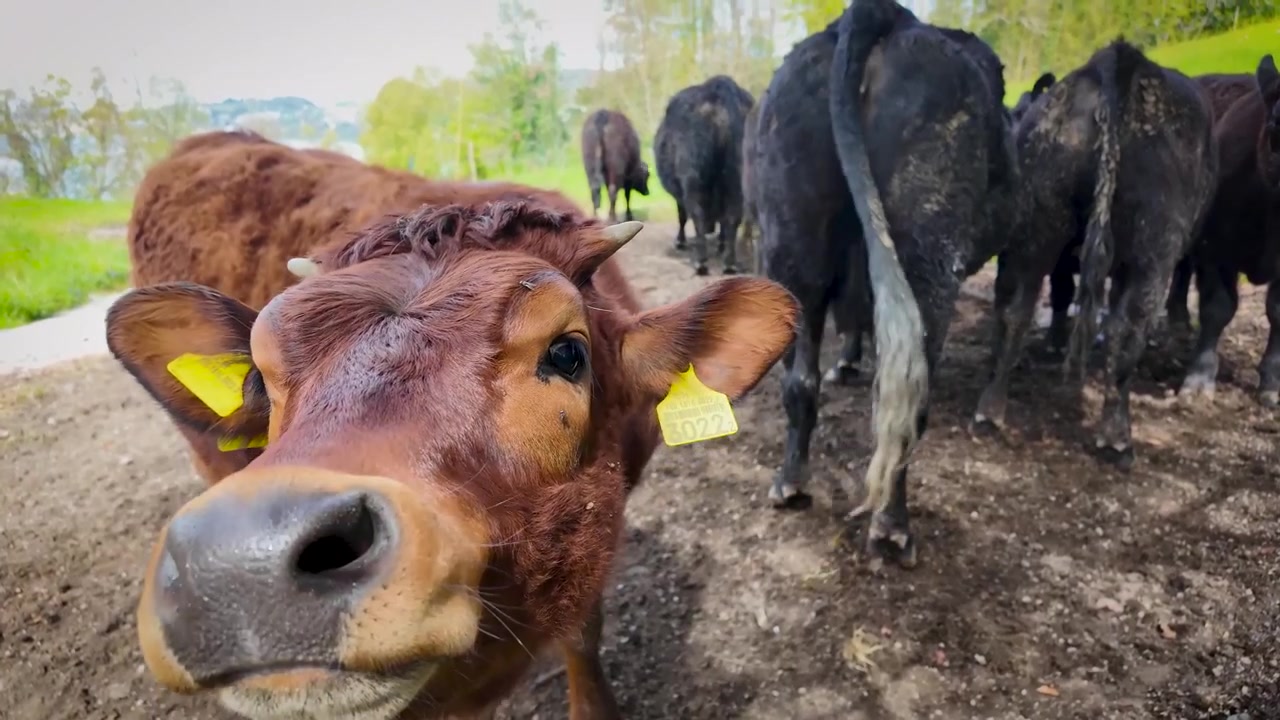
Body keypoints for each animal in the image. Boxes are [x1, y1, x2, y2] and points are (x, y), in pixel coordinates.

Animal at [654, 74, 755, 275]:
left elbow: (682, 215)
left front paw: (680, 241)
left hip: (693, 179)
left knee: (697, 214)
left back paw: (700, 262)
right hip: (737, 178)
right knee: (732, 217)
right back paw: (729, 262)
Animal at [755, 0, 1020, 567]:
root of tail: (882, 15)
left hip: (794, 232)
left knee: (800, 380)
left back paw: (791, 482)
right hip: (927, 249)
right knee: (908, 405)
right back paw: (893, 527)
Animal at [973, 40, 1219, 469]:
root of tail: (1118, 61)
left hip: (1036, 226)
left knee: (1014, 308)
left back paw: (990, 411)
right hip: (1153, 250)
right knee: (1128, 330)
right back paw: (1116, 440)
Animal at [1179, 55, 1280, 406]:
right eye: (1276, 129)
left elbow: (1278, 312)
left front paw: (1272, 382)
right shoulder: (1215, 251)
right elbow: (1217, 308)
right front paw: (1198, 379)